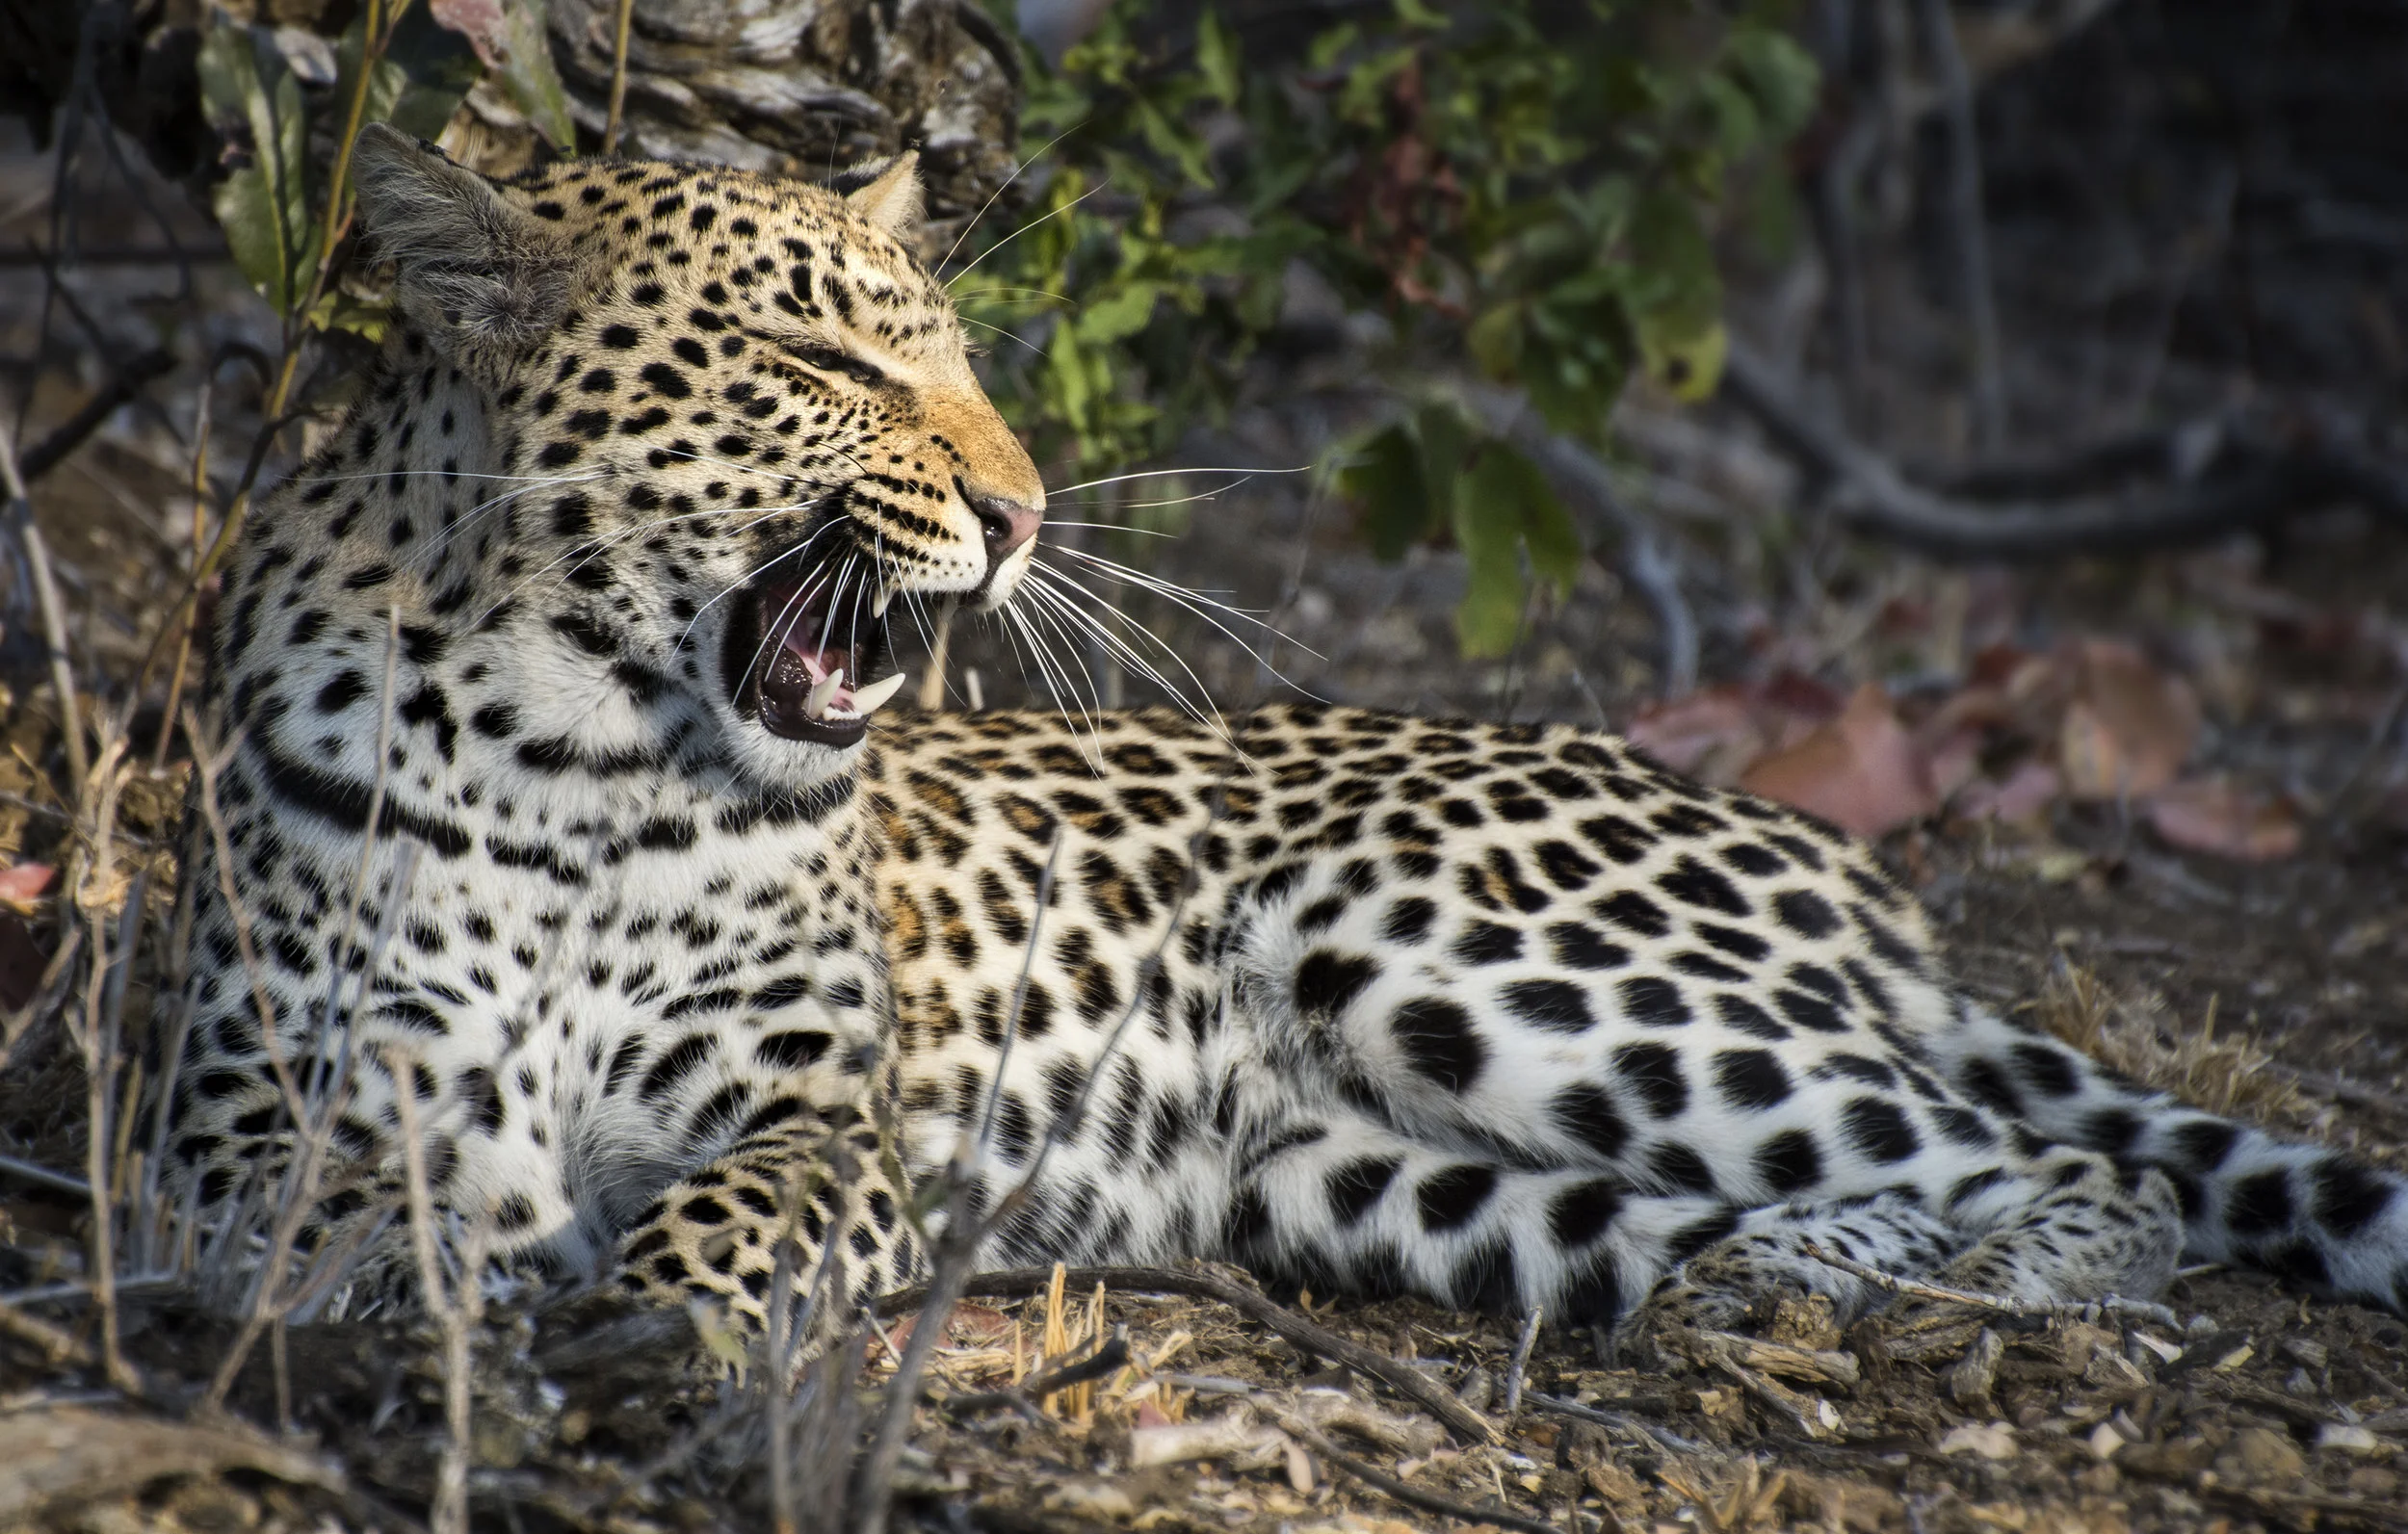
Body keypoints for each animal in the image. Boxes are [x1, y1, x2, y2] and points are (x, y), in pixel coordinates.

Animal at [158, 123, 2408, 1361]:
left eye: (953, 355)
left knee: (2062, 1172)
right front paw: (455, 1285)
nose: (1022, 508)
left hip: (1472, 956)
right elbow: (343, 1203)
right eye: (813, 355)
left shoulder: (835, 1116)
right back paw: (1784, 1282)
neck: (578, 754)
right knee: (1736, 1209)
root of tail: (1832, 855)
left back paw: (1966, 1284)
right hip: (1363, 1177)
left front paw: (639, 1316)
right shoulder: (235, 1102)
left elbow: (738, 1210)